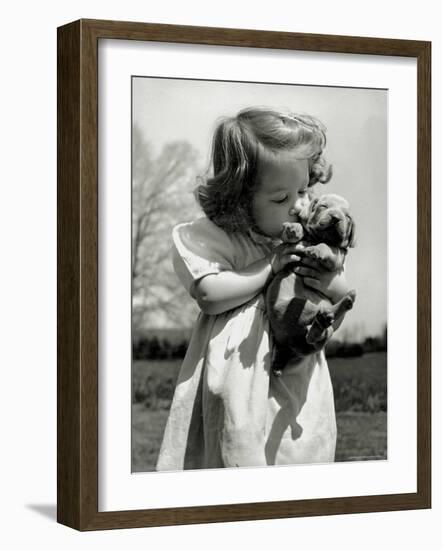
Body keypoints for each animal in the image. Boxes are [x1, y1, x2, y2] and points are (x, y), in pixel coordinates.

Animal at [266, 194, 356, 380]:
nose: (336, 218)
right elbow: (298, 230)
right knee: (312, 336)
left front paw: (318, 250)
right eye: (323, 206)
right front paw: (293, 228)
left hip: (301, 309)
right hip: (293, 312)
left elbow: (329, 248)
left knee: (316, 334)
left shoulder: (338, 256)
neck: (318, 238)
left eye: (347, 217)